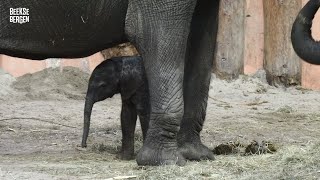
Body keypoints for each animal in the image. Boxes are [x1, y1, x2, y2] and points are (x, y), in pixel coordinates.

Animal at [0, 0, 220, 166]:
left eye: (102, 86)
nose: (83, 147)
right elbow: (155, 35)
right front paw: (164, 161)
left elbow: (201, 36)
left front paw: (195, 155)